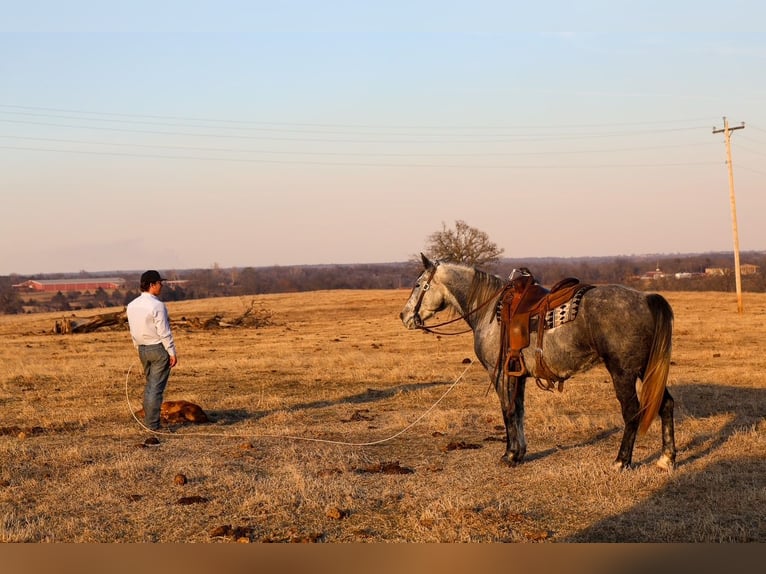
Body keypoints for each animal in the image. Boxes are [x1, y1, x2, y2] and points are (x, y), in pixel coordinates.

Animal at [400, 254, 676, 471]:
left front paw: (509, 455)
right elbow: (519, 411)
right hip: (645, 370)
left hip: (623, 372)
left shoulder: (500, 373)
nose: (404, 316)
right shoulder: (517, 374)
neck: (489, 311)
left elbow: (508, 410)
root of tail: (646, 298)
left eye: (418, 284)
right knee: (665, 405)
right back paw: (666, 459)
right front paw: (519, 452)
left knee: (632, 412)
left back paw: (621, 461)